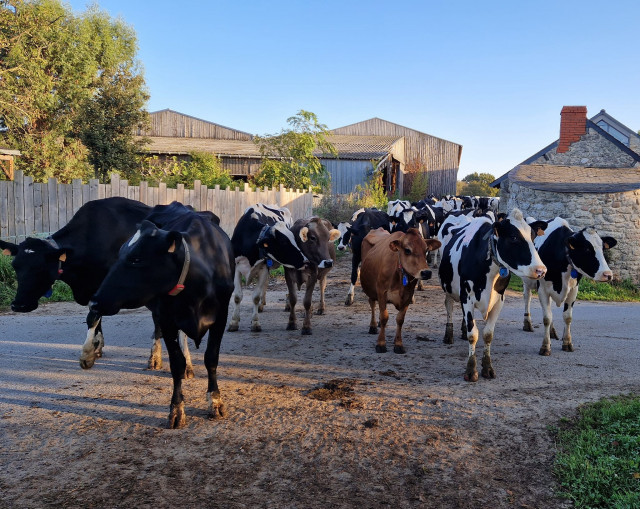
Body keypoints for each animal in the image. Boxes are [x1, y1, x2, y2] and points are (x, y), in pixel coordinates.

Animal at [87, 200, 232, 426]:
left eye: (136, 259)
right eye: (120, 254)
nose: (93, 302)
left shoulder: (221, 316)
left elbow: (211, 358)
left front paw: (215, 402)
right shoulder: (166, 316)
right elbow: (176, 363)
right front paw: (176, 409)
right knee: (157, 330)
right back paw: (154, 358)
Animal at [228, 203, 308, 334]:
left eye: (294, 239)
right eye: (283, 242)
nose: (305, 261)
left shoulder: (264, 268)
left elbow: (255, 296)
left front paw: (255, 323)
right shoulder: (236, 268)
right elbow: (237, 296)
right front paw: (234, 322)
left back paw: (286, 304)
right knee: (265, 284)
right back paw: (262, 304)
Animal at [440, 209, 552, 380]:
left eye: (533, 237)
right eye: (513, 237)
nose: (541, 270)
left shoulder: (499, 300)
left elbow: (487, 334)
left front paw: (487, 367)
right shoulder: (467, 297)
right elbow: (473, 334)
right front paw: (471, 370)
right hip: (448, 288)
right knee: (449, 307)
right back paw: (449, 335)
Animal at [524, 216, 616, 356]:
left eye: (602, 248)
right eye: (587, 249)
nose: (608, 274)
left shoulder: (573, 289)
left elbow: (567, 317)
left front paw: (567, 343)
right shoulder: (542, 289)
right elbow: (546, 318)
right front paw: (545, 347)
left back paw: (552, 332)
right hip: (527, 281)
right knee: (527, 297)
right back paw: (527, 324)